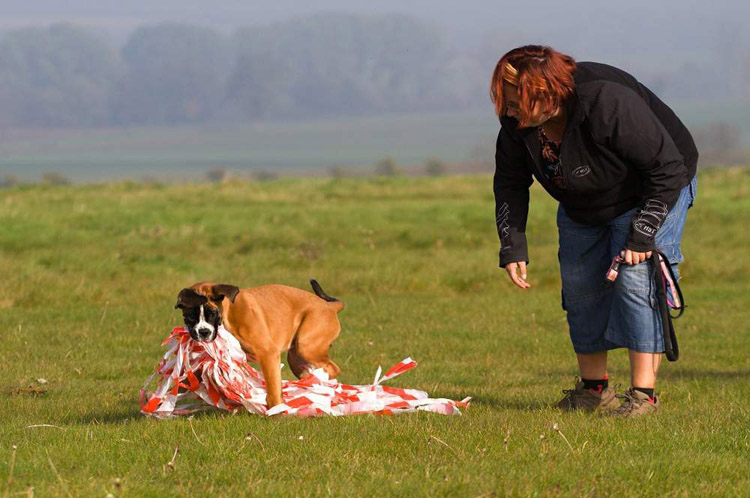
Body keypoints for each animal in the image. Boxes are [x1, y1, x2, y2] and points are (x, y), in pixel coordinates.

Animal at [175, 280, 346, 408]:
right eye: (190, 316)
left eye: (211, 314)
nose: (203, 332)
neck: (228, 313)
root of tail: (329, 306)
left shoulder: (268, 354)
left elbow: (272, 386)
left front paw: (276, 410)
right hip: (296, 357)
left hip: (306, 347)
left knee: (333, 368)